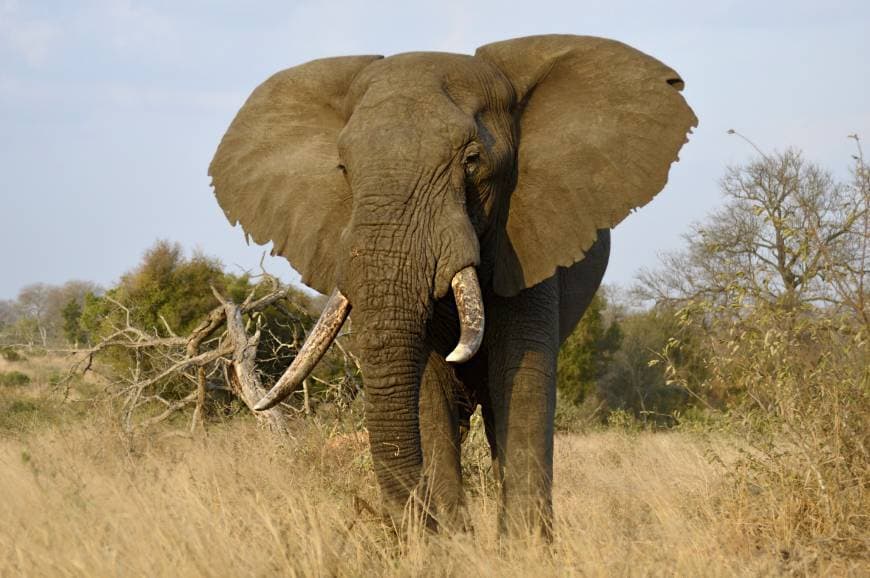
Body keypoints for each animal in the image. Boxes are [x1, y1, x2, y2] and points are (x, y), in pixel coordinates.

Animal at [208, 33, 700, 532]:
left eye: (472, 161)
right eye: (344, 169)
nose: (408, 524)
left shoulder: (527, 237)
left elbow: (522, 381)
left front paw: (520, 547)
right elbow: (427, 392)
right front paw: (451, 543)